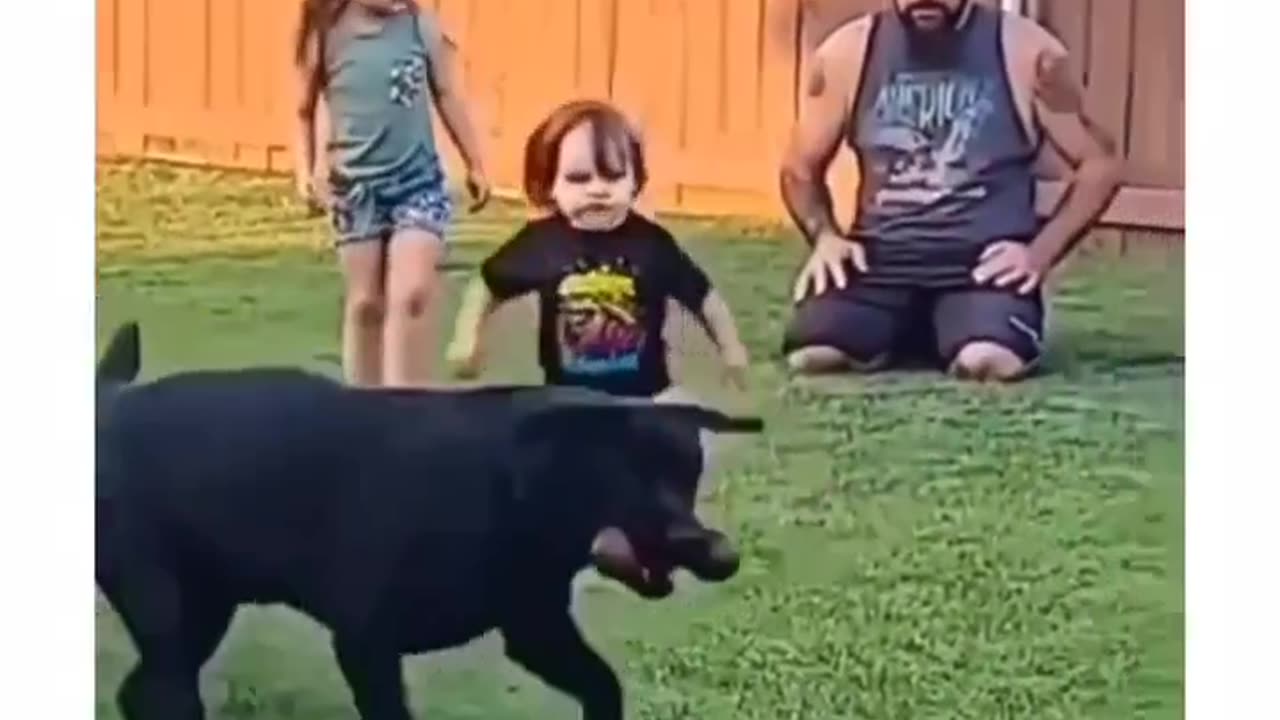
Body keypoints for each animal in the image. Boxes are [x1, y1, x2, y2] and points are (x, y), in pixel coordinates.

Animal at [97, 324, 757, 717]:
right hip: (167, 607)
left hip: (206, 607)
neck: (512, 489)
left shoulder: (536, 631)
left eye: (687, 477)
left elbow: (603, 687)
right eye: (631, 474)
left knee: (142, 691)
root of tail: (110, 405)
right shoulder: (365, 642)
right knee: (163, 690)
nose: (721, 554)